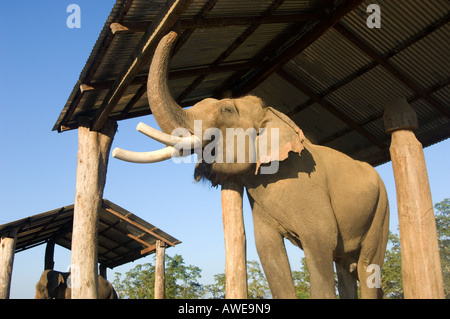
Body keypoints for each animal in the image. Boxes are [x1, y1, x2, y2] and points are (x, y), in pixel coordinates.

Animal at [113, 31, 390, 298]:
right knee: (346, 268)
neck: (271, 114)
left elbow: (321, 240)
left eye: (226, 110)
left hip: (381, 209)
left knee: (367, 266)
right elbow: (268, 250)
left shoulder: (310, 189)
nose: (173, 31)